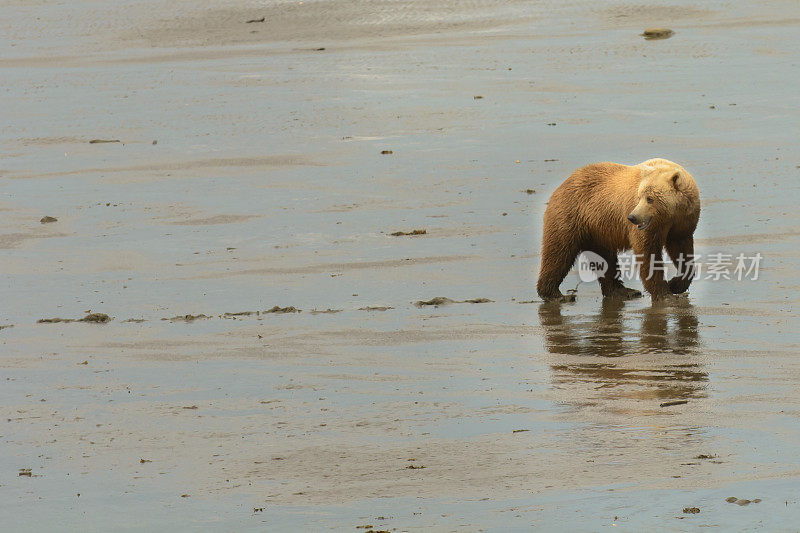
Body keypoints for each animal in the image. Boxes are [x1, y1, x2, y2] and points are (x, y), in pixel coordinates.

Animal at [536, 157, 700, 300]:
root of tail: (563, 184)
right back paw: (556, 295)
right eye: (639, 196)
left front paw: (676, 284)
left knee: (604, 259)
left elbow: (682, 250)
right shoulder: (649, 228)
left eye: (650, 198)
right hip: (571, 216)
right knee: (559, 252)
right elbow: (648, 252)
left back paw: (622, 291)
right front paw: (664, 293)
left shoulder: (683, 223)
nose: (632, 217)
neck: (671, 214)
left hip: (598, 229)